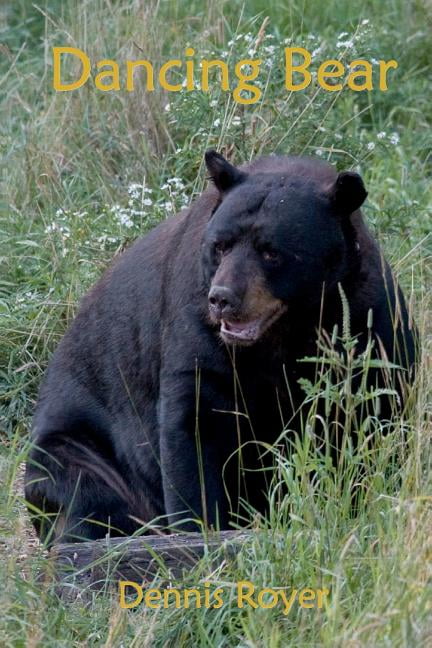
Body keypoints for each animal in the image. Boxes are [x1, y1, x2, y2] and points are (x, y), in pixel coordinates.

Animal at [25, 150, 417, 543]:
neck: (285, 329)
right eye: (220, 245)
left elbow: (378, 409)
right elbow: (195, 423)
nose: (222, 299)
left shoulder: (367, 317)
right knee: (86, 493)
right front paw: (201, 528)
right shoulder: (195, 324)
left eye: (272, 252)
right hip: (78, 450)